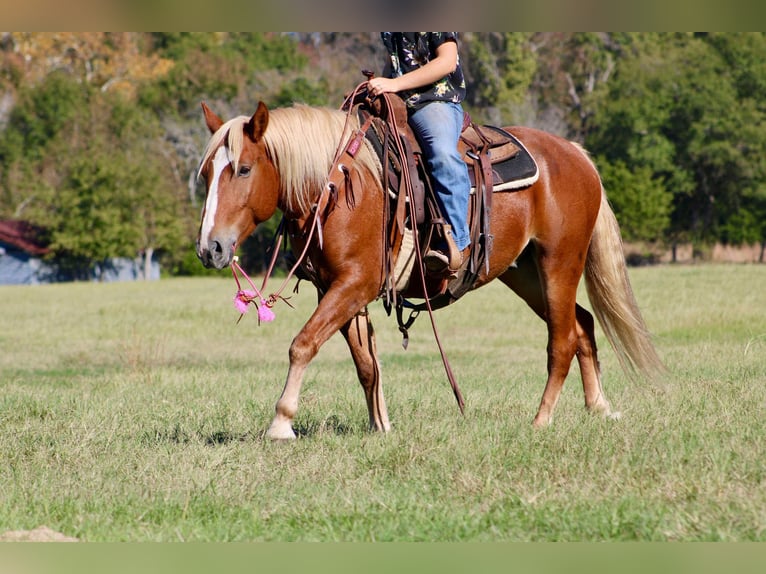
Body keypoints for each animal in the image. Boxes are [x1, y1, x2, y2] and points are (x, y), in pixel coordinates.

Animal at [194, 100, 664, 440]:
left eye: (243, 168)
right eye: (206, 174)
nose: (210, 248)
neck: (338, 185)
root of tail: (577, 155)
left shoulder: (354, 283)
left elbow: (303, 344)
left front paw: (281, 423)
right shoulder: (336, 289)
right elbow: (366, 363)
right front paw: (381, 425)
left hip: (559, 262)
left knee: (561, 341)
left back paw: (541, 420)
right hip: (524, 272)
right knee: (582, 324)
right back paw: (599, 407)